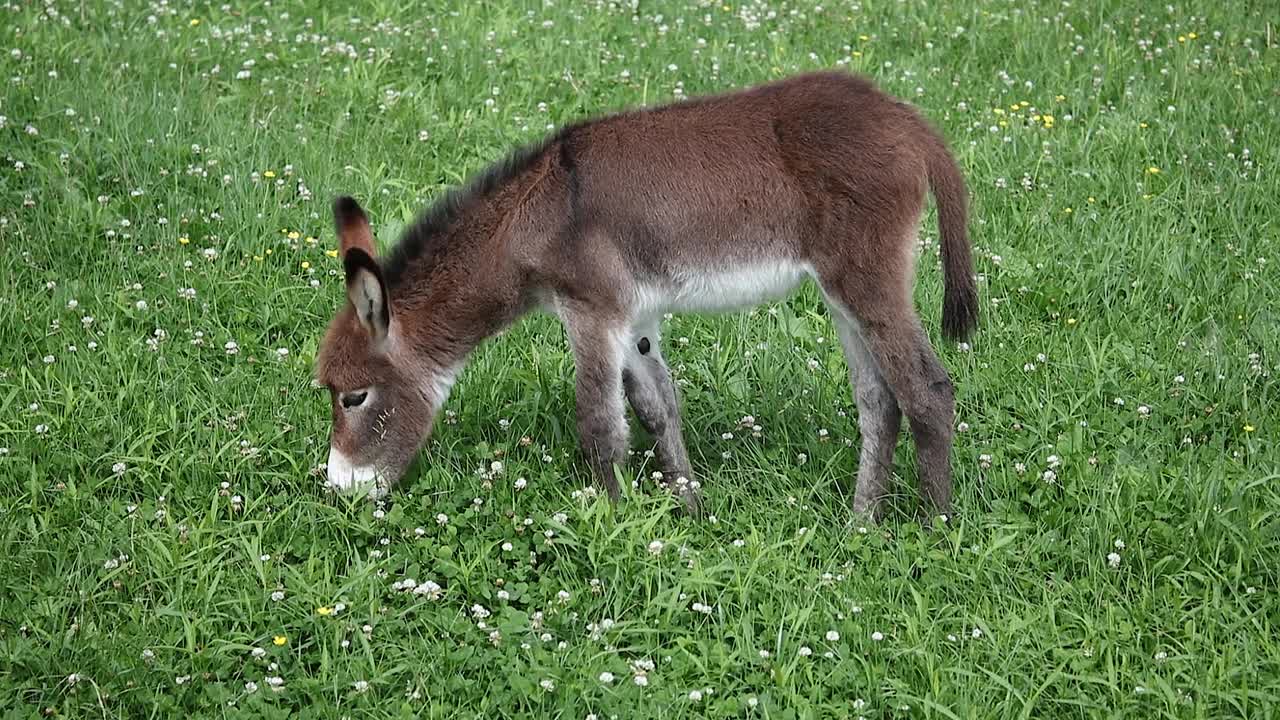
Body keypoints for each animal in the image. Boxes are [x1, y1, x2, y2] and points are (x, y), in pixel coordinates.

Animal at [314, 70, 972, 517]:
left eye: (353, 397)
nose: (339, 489)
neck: (536, 215)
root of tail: (906, 121)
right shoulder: (636, 318)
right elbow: (657, 409)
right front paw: (689, 511)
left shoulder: (591, 310)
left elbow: (601, 427)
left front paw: (613, 522)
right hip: (841, 293)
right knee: (879, 400)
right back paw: (862, 523)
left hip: (867, 275)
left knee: (927, 390)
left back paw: (933, 528)